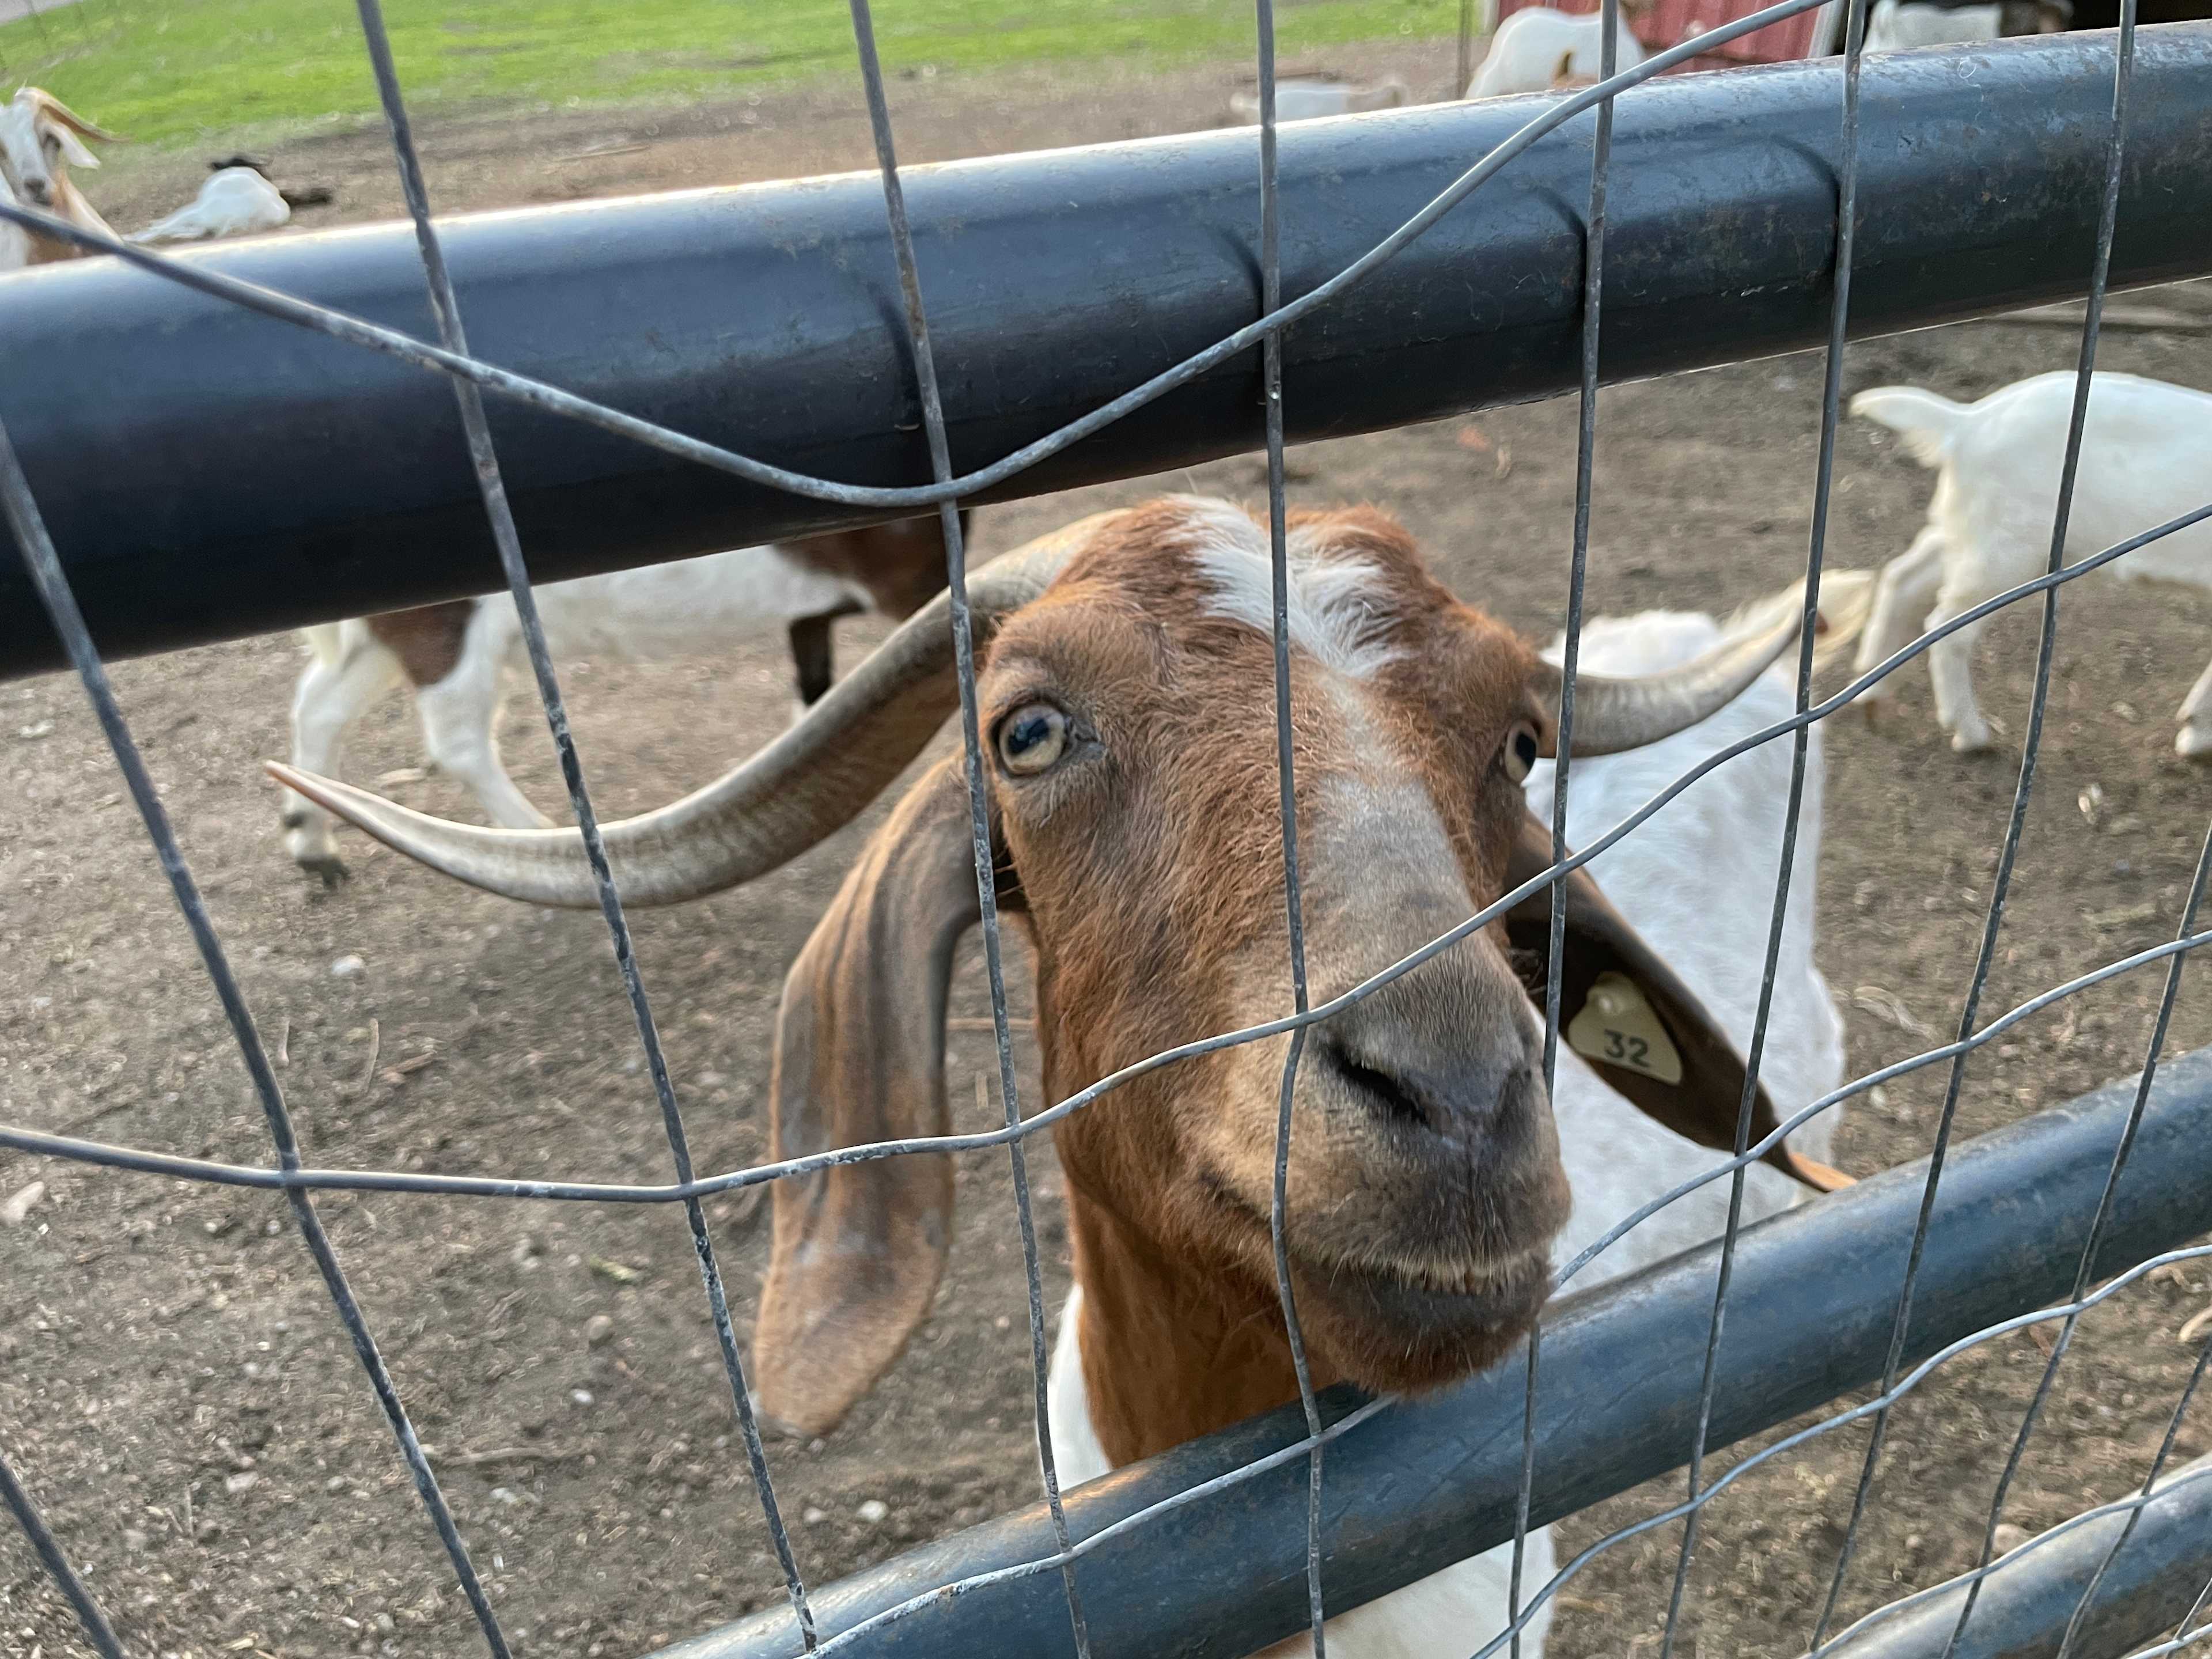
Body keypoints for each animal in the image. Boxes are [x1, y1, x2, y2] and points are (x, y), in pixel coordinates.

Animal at [278, 512, 964, 883]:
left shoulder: (817, 604)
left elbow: (818, 689)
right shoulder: (907, 572)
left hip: (390, 630)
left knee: (321, 703)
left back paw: (312, 844)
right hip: (447, 626)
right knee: (458, 741)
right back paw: (540, 842)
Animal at [1849, 372, 2212, 756]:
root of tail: (1967, 423)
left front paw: (2195, 732)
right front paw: (2197, 737)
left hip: (1971, 528)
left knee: (1903, 579)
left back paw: (1873, 691)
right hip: (2006, 552)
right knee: (1948, 626)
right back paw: (1970, 733)